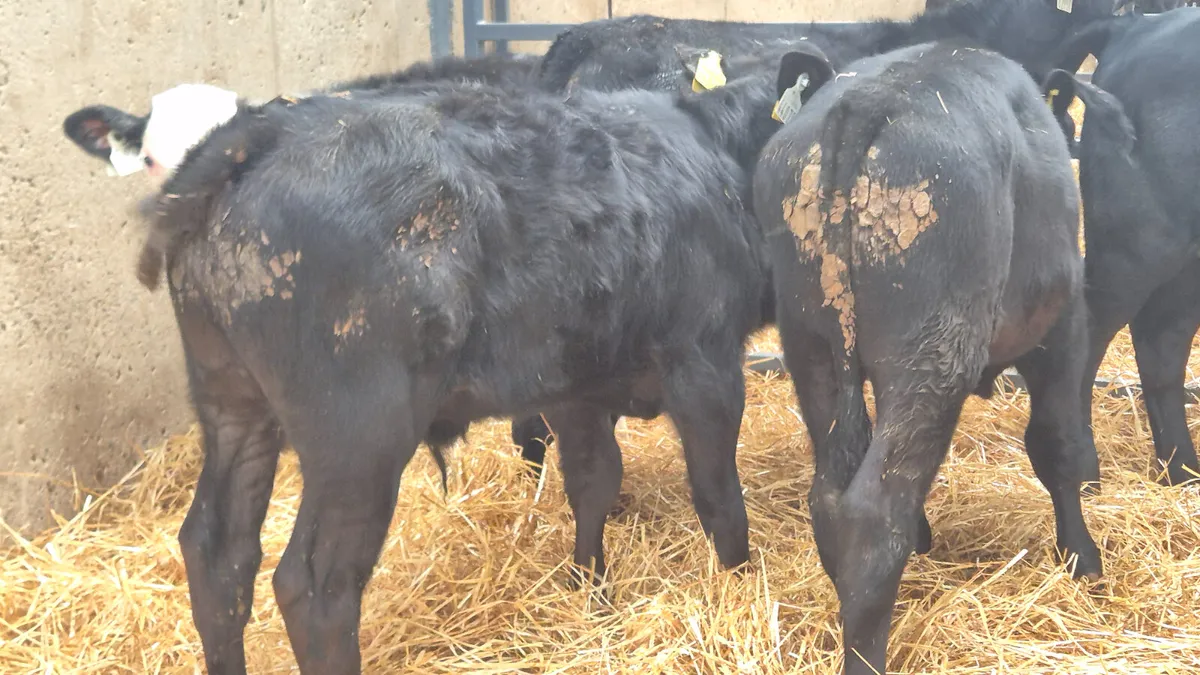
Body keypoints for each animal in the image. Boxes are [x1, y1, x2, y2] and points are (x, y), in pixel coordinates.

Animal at [61, 58, 790, 673]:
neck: (711, 151)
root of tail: (258, 135)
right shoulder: (705, 362)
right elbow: (718, 496)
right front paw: (739, 587)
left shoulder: (575, 384)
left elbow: (593, 482)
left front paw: (591, 592)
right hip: (359, 437)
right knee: (316, 584)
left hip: (233, 406)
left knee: (218, 555)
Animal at [752, 41, 1103, 674]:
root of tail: (870, 97)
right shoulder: (1062, 329)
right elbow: (1058, 447)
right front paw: (1083, 562)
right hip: (930, 359)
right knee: (873, 512)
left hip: (812, 348)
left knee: (832, 498)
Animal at [1046, 7, 1200, 487]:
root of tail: (1135, 25)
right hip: (1136, 243)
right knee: (1095, 331)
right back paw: (1081, 467)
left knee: (1161, 344)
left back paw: (1182, 471)